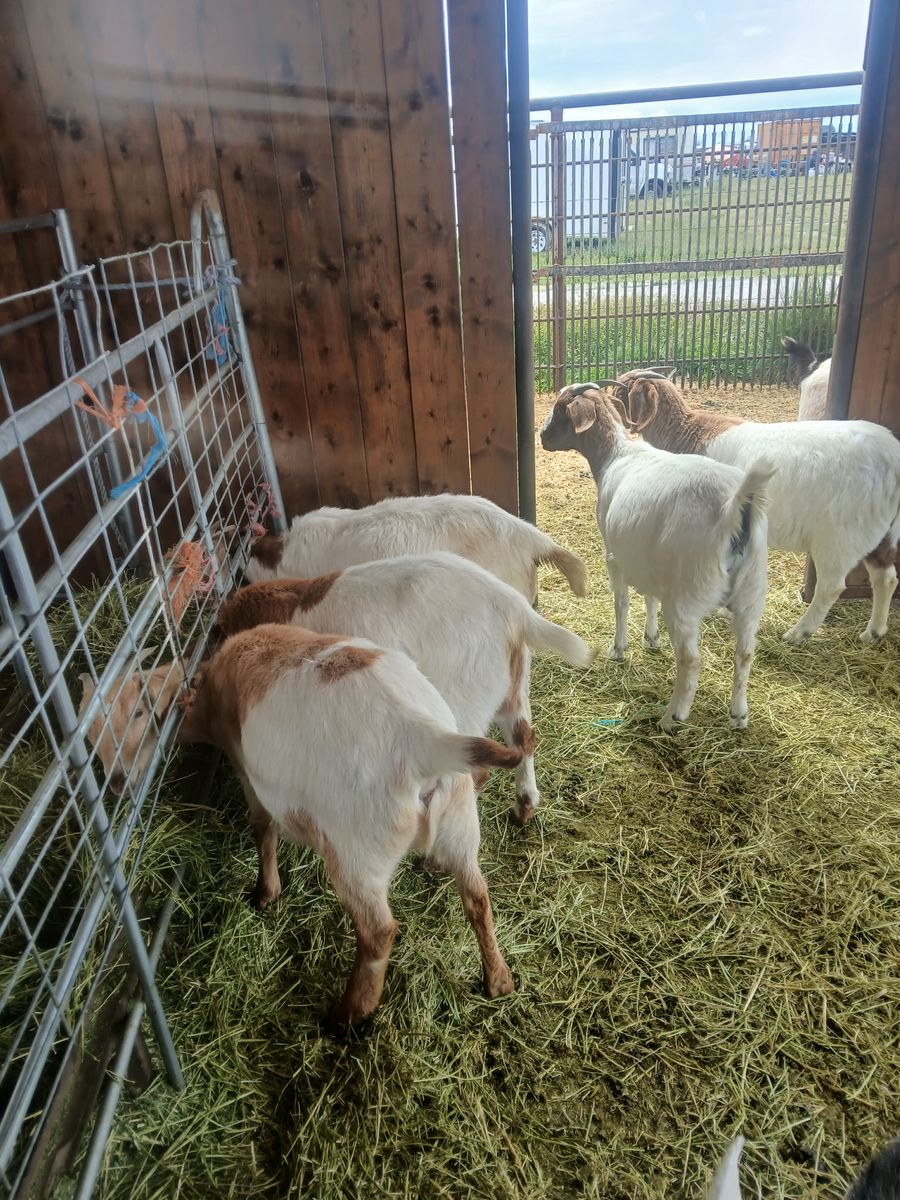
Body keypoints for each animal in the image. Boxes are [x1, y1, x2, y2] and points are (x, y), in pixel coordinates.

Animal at [216, 552, 594, 824]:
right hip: (512, 683)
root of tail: (513, 608)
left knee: (475, 769)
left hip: (461, 697)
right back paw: (524, 808)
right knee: (524, 738)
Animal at [540, 384, 772, 729]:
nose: (542, 436)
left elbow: (621, 602)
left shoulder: (614, 555)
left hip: (687, 596)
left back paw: (672, 717)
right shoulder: (648, 557)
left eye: (559, 409)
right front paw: (651, 637)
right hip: (752, 592)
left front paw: (619, 648)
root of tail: (735, 508)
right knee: (744, 654)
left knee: (691, 659)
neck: (614, 456)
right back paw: (739, 714)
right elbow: (649, 597)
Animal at [615, 371, 900, 645]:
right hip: (878, 532)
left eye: (621, 392)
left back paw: (798, 633)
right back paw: (872, 633)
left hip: (840, 535)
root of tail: (893, 458)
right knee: (885, 577)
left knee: (831, 586)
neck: (688, 433)